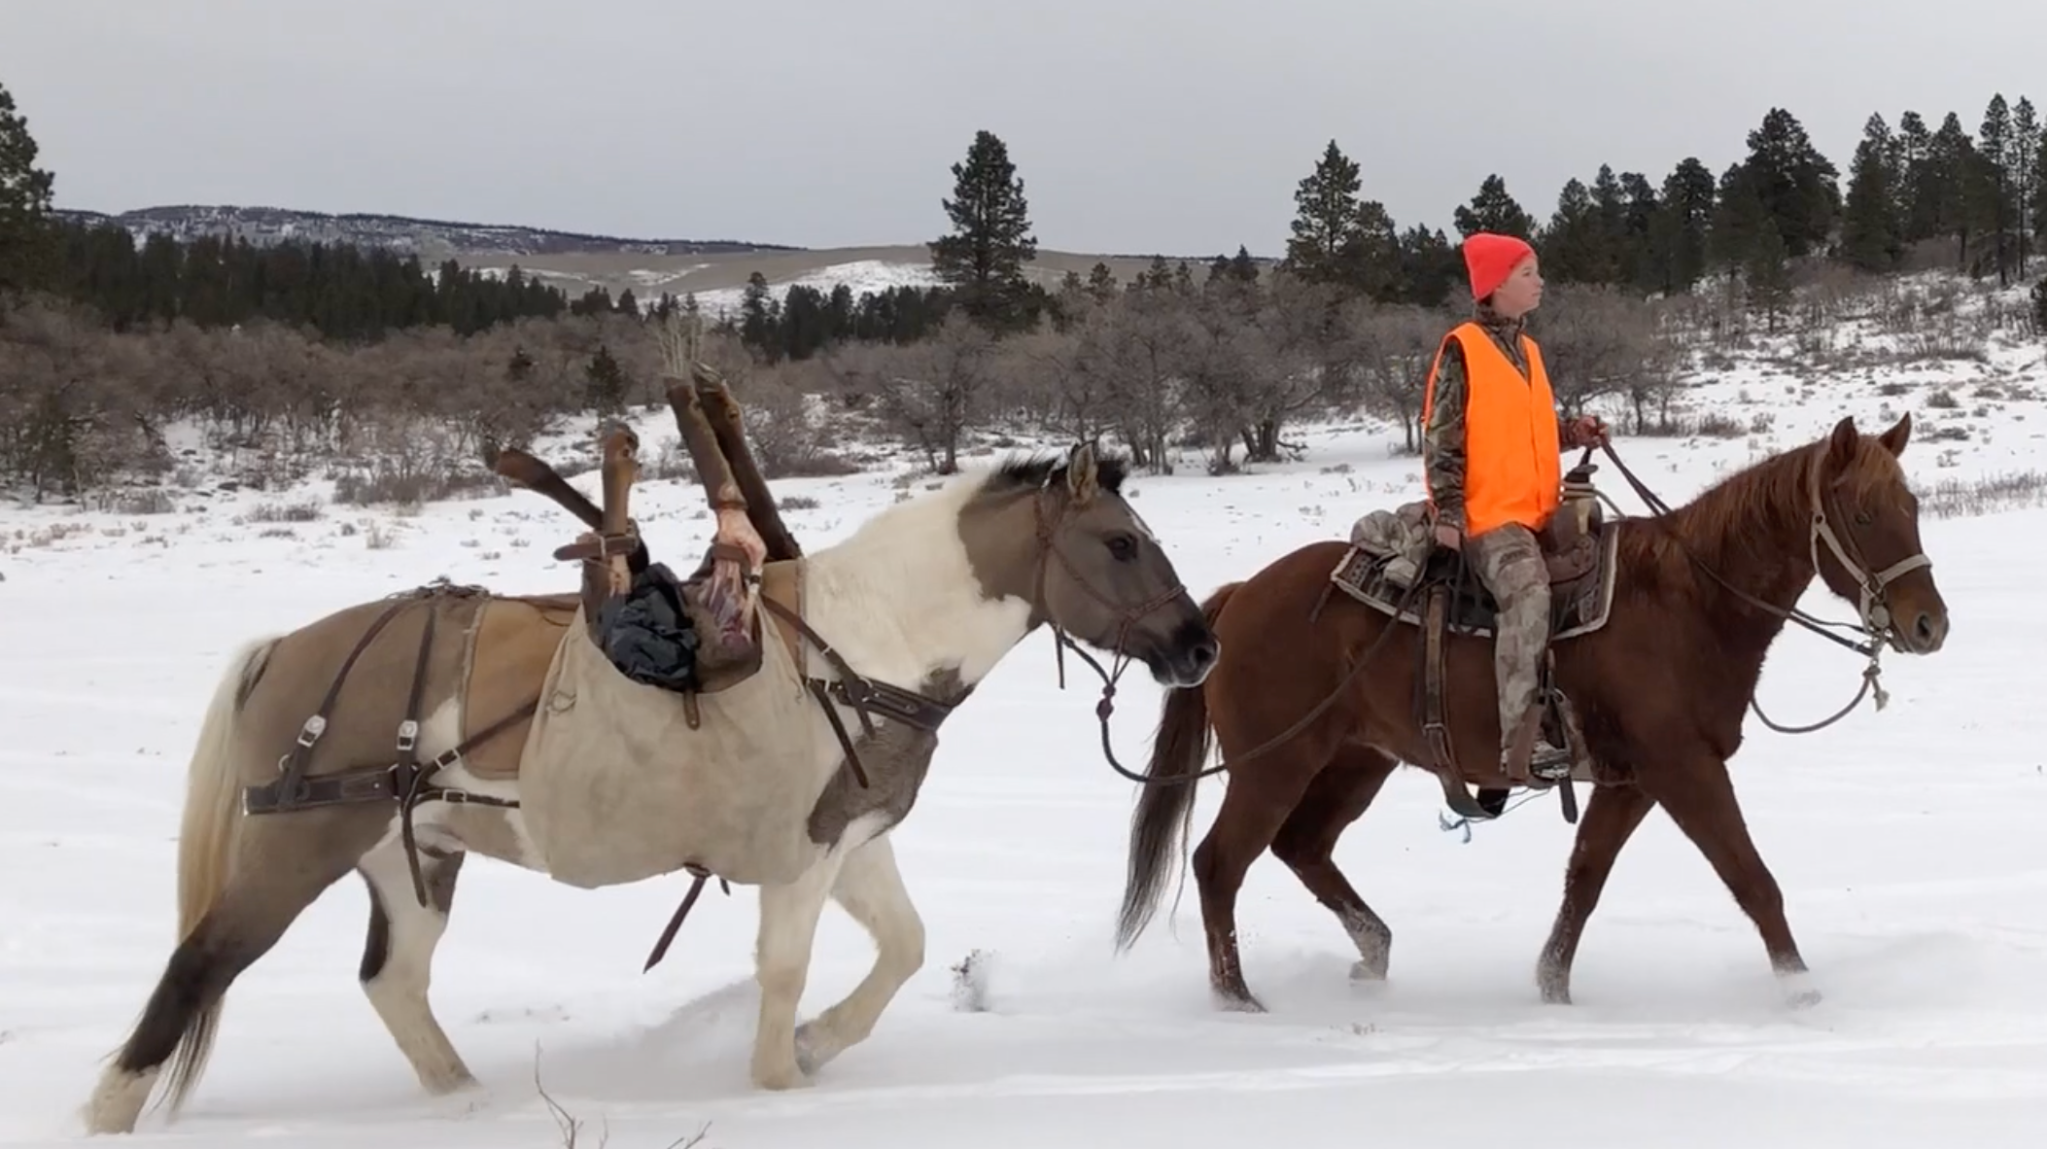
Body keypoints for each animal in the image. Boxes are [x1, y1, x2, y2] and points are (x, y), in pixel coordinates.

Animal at [88, 444, 1220, 1130]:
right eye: (1121, 542)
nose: (1199, 645)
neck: (862, 644)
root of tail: (288, 649)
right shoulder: (799, 856)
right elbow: (784, 971)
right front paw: (777, 1081)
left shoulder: (850, 839)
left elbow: (902, 948)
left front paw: (817, 1048)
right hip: (299, 848)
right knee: (197, 967)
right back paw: (108, 1113)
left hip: (414, 859)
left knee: (393, 982)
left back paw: (469, 1104)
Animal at [1121, 415, 1948, 1007]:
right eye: (1863, 514)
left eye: (1910, 505)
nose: (1927, 624)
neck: (1687, 601)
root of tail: (1237, 598)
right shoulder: (1683, 769)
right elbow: (1750, 875)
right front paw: (1801, 988)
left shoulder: (1629, 780)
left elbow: (1583, 877)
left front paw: (1551, 986)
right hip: (1273, 764)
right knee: (1220, 861)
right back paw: (1236, 1001)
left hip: (1356, 759)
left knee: (1302, 846)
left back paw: (1372, 951)